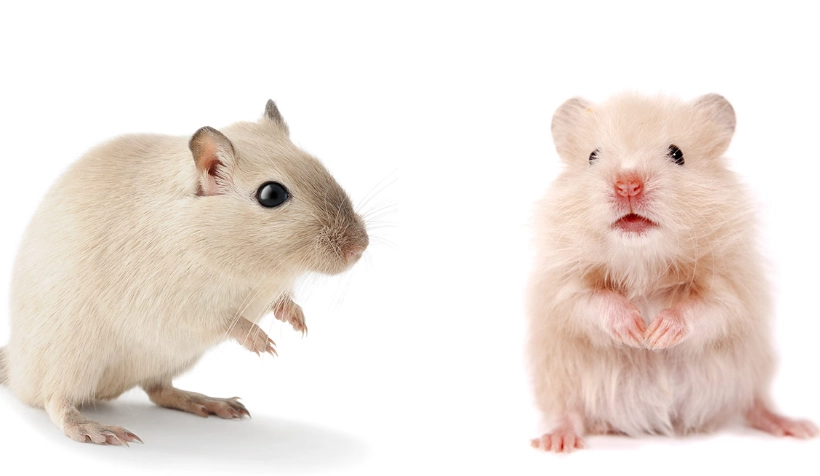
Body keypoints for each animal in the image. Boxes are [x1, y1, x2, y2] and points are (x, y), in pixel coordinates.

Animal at [0, 100, 369, 446]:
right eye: (271, 194)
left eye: (319, 165)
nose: (360, 248)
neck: (253, 269)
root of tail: (14, 364)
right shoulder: (172, 303)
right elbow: (222, 320)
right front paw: (262, 342)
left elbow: (282, 300)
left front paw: (297, 319)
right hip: (69, 358)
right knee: (56, 401)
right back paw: (95, 429)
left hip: (168, 362)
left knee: (158, 390)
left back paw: (211, 402)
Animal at [527, 93, 817, 452]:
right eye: (593, 156)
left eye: (677, 154)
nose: (628, 185)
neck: (642, 260)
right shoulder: (563, 291)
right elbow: (591, 302)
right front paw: (637, 331)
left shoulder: (730, 290)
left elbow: (707, 309)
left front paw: (656, 335)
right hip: (560, 378)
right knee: (566, 411)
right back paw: (556, 441)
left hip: (749, 371)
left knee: (754, 403)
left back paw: (797, 427)